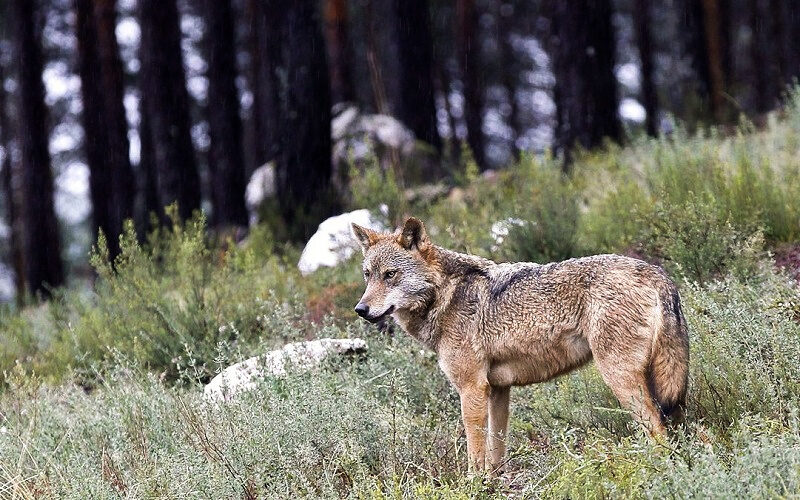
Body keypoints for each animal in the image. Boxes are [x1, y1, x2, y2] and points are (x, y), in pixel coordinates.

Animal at [351, 217, 689, 473]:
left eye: (390, 275)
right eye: (368, 276)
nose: (360, 309)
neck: (445, 296)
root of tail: (658, 273)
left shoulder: (472, 389)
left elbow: (475, 452)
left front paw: (473, 485)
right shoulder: (498, 390)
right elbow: (495, 450)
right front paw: (494, 482)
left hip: (620, 379)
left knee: (658, 430)